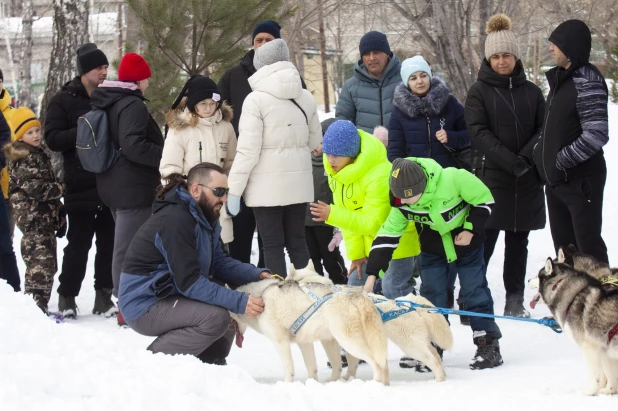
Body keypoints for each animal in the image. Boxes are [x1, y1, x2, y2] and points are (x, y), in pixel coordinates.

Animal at [229, 272, 388, 384]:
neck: (261, 297)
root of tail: (356, 296)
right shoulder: (304, 343)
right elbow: (312, 369)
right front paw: (311, 384)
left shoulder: (281, 343)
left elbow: (289, 370)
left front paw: (286, 385)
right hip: (333, 341)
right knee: (346, 366)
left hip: (349, 342)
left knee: (377, 363)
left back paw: (376, 383)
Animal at [286, 264, 452, 384]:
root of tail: (408, 301)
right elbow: (351, 363)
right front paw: (348, 378)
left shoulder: (335, 339)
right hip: (418, 343)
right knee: (436, 355)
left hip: (410, 345)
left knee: (432, 359)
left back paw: (438, 379)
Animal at [528, 258, 616, 396]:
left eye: (537, 276)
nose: (527, 280)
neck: (572, 297)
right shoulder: (605, 349)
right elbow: (610, 375)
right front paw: (609, 390)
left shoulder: (589, 347)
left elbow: (596, 375)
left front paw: (590, 392)